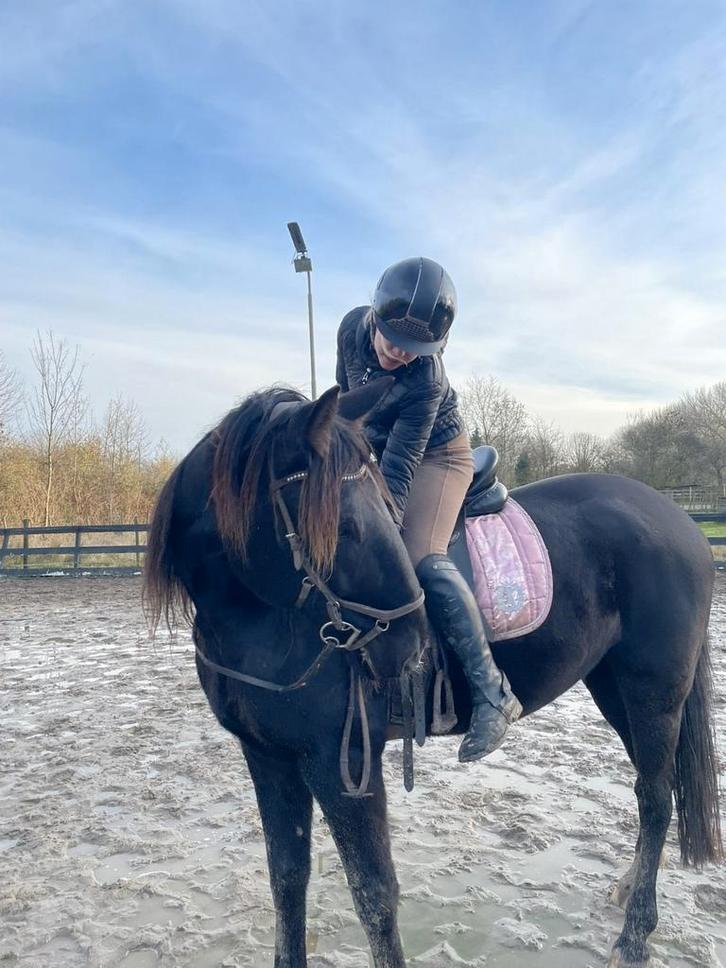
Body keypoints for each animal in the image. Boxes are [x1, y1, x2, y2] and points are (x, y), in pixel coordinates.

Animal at [143, 381, 722, 968]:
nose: (409, 646)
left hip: (654, 691)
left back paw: (634, 937)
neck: (265, 623)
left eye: (382, 512)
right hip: (614, 688)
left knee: (655, 797)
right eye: (344, 526)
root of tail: (678, 518)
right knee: (655, 787)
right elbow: (286, 877)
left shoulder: (343, 761)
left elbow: (374, 893)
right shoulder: (267, 756)